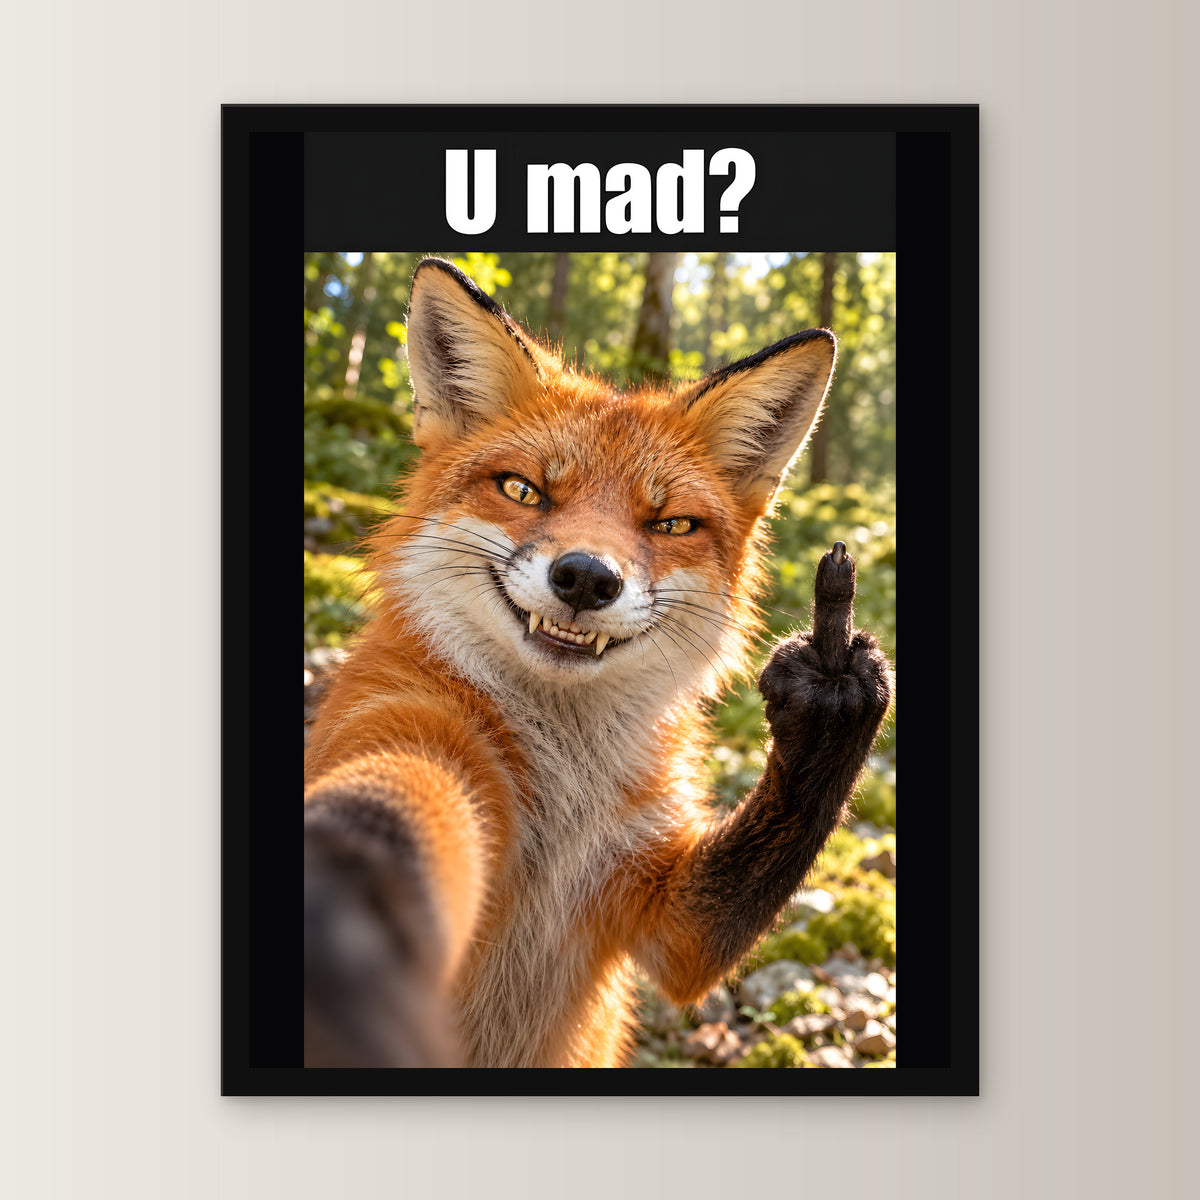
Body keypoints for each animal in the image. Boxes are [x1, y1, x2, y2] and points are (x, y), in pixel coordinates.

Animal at [303, 257, 893, 1069]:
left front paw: (830, 696)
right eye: (523, 489)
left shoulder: (669, 920)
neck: (565, 796)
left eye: (670, 524)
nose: (585, 578)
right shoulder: (405, 729)